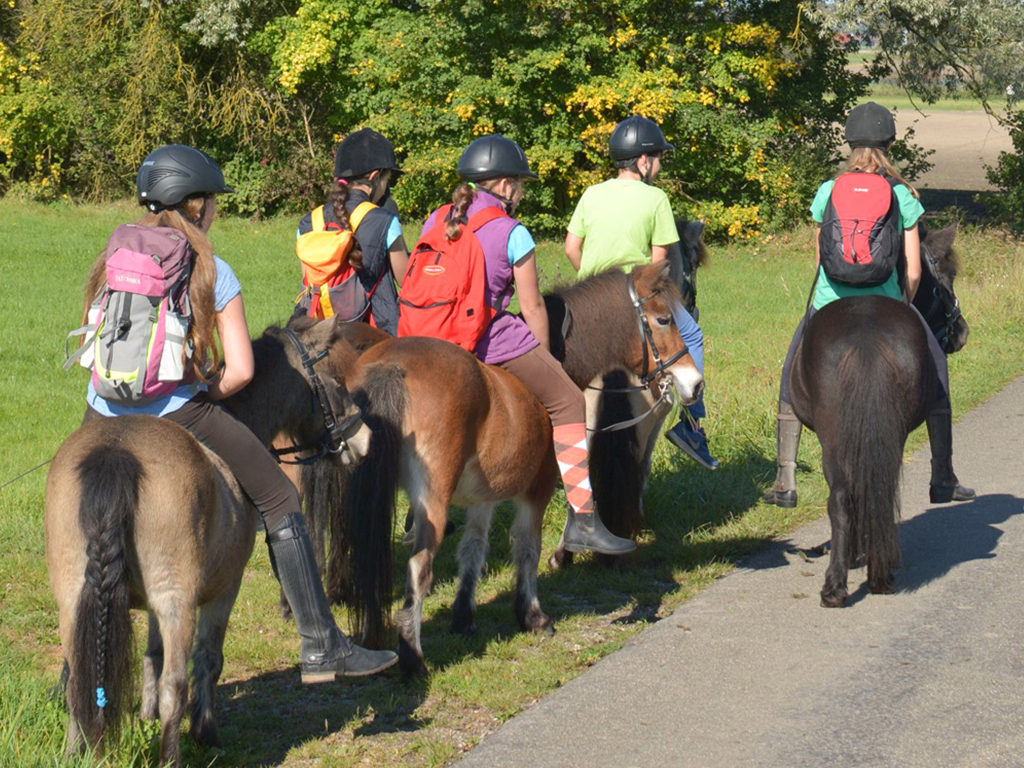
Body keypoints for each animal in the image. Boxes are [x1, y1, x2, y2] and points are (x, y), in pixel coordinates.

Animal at [47, 315, 372, 765]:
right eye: (336, 381)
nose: (362, 438)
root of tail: (116, 453)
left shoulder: (151, 606)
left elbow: (152, 656)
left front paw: (146, 716)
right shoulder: (223, 590)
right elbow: (208, 660)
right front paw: (206, 731)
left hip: (75, 594)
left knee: (79, 678)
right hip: (176, 599)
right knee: (176, 685)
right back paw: (172, 755)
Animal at [331, 264, 700, 679]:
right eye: (664, 319)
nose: (695, 383)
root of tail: (391, 368)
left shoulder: (484, 495)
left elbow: (473, 548)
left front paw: (464, 616)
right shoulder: (538, 486)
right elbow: (527, 546)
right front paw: (533, 615)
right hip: (432, 501)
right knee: (418, 567)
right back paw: (412, 656)